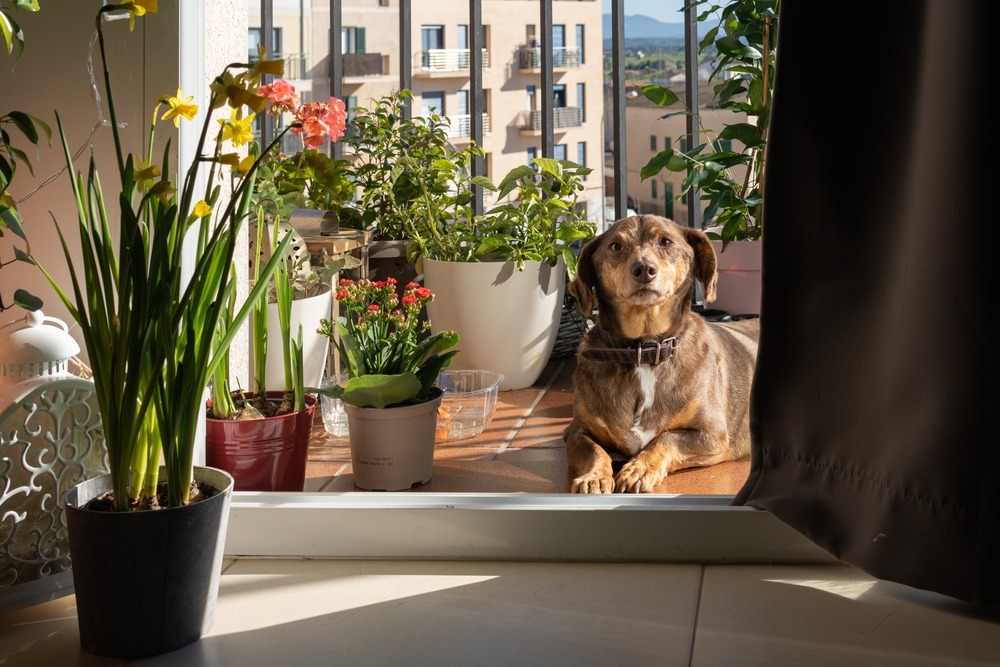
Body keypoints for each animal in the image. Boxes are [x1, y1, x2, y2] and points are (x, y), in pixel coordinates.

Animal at [564, 217, 756, 494]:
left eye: (666, 241)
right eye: (615, 245)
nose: (644, 269)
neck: (644, 350)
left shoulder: (713, 434)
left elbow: (668, 438)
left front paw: (639, 468)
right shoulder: (575, 432)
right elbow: (594, 450)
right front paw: (594, 477)